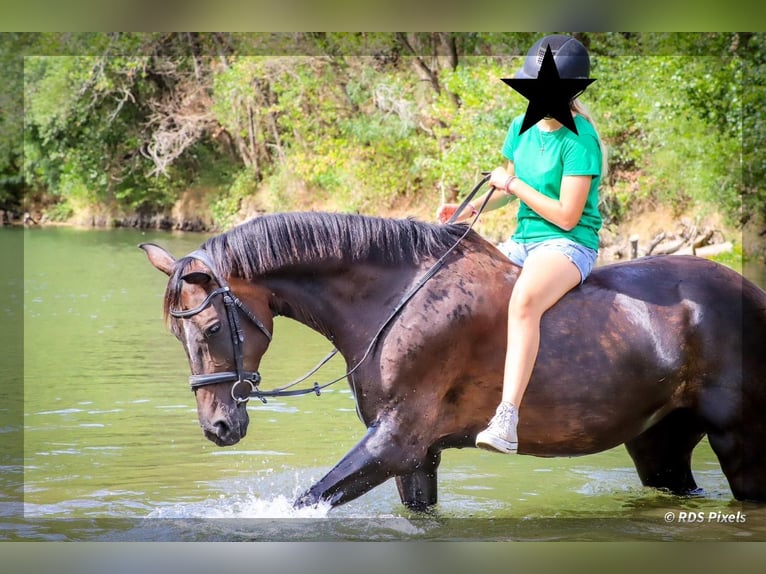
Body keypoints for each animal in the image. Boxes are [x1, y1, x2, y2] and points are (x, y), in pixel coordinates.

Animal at [140, 211, 766, 511]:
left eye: (212, 328)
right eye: (177, 334)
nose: (218, 427)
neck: (393, 300)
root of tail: (750, 293)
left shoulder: (395, 442)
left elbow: (305, 502)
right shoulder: (417, 457)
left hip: (740, 442)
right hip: (660, 444)